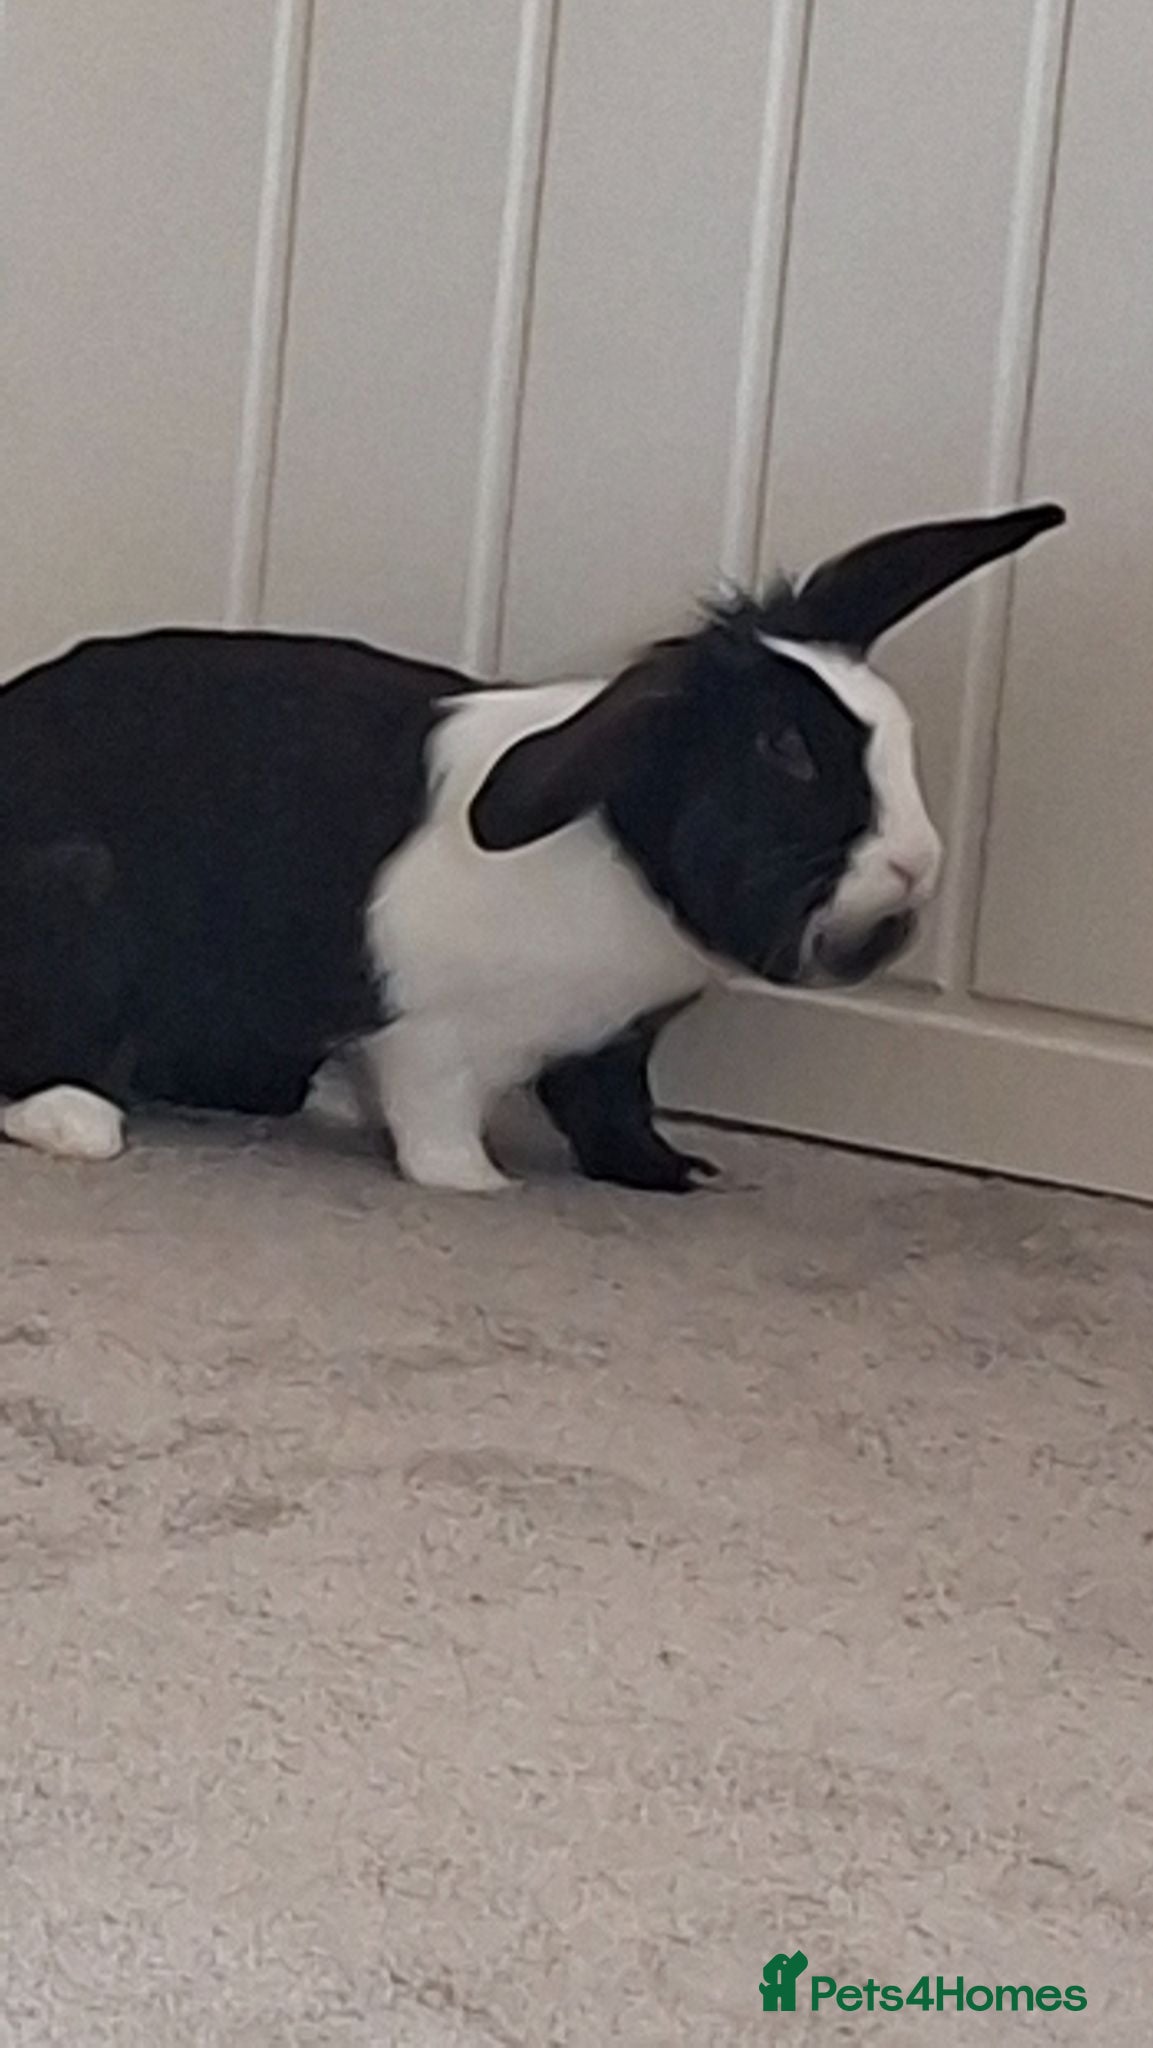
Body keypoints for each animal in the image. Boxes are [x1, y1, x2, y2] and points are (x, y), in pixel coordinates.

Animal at [0, 501, 1064, 1190]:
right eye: (786, 752)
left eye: (896, 732)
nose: (917, 862)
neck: (616, 854)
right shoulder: (431, 1039)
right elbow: (437, 1126)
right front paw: (479, 1185)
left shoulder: (610, 1046)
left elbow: (612, 1110)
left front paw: (677, 1176)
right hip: (78, 902)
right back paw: (81, 1124)